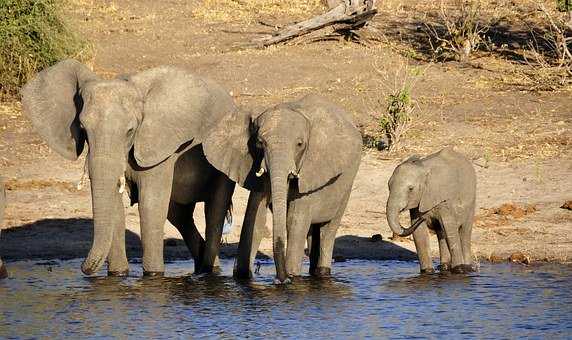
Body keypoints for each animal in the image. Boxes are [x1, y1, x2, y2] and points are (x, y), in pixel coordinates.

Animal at [21, 59, 237, 278]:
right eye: (83, 128)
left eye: (130, 131)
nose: (84, 269)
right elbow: (115, 204)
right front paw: (118, 275)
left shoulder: (160, 147)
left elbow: (150, 203)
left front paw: (153, 276)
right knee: (179, 216)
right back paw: (202, 269)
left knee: (214, 210)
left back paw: (210, 272)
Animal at [203, 94, 360, 282]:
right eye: (260, 143)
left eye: (300, 144)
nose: (281, 279)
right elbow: (255, 218)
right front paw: (243, 277)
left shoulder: (310, 172)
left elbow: (294, 220)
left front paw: (292, 278)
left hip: (347, 185)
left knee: (327, 230)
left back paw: (322, 272)